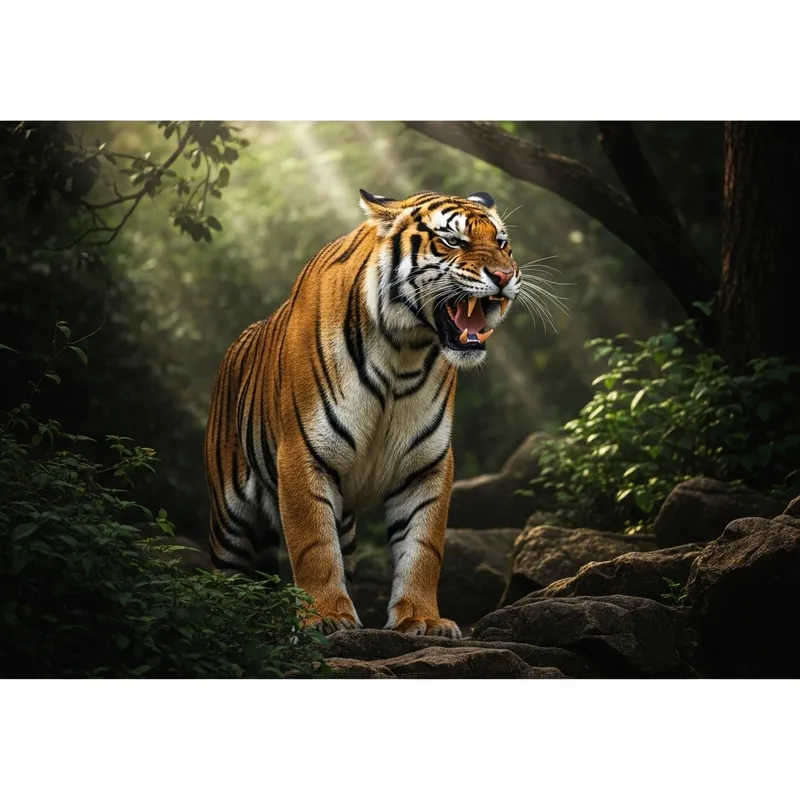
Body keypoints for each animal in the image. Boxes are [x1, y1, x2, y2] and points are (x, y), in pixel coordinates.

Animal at [204, 189, 521, 637]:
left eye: (502, 243)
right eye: (452, 241)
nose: (505, 276)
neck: (403, 352)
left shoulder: (427, 464)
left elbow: (423, 548)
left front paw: (423, 619)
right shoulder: (302, 455)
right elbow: (313, 546)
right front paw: (326, 618)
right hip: (231, 522)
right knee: (229, 576)